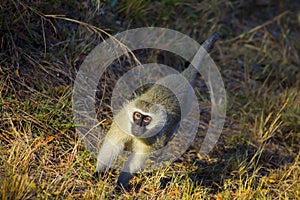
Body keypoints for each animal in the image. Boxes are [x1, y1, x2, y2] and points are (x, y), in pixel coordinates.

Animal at [95, 32, 219, 189]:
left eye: (147, 119)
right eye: (137, 115)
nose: (138, 126)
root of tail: (182, 77)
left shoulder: (154, 138)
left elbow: (136, 161)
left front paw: (120, 184)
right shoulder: (122, 122)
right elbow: (111, 145)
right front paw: (99, 173)